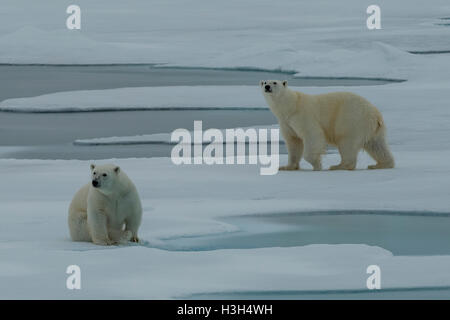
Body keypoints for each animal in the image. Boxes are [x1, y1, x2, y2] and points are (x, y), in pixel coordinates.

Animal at [260, 79, 394, 170]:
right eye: (264, 82)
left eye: (274, 82)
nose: (267, 86)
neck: (291, 106)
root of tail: (375, 114)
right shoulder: (286, 122)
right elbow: (293, 142)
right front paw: (286, 167)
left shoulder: (303, 116)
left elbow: (312, 135)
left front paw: (317, 164)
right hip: (372, 128)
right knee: (377, 145)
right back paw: (380, 164)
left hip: (351, 120)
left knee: (347, 143)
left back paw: (339, 166)